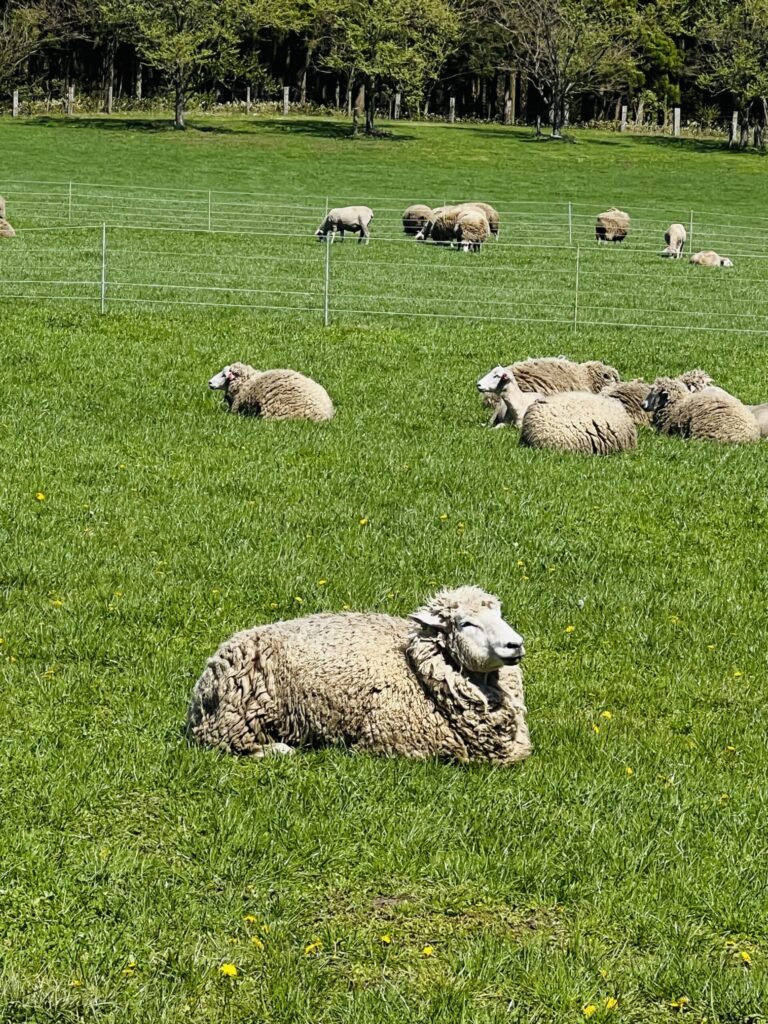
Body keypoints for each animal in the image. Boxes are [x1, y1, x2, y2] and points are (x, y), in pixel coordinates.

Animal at [186, 586, 532, 765]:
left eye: (499, 614)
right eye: (465, 623)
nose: (516, 644)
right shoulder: (393, 743)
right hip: (236, 719)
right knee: (229, 744)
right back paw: (280, 750)